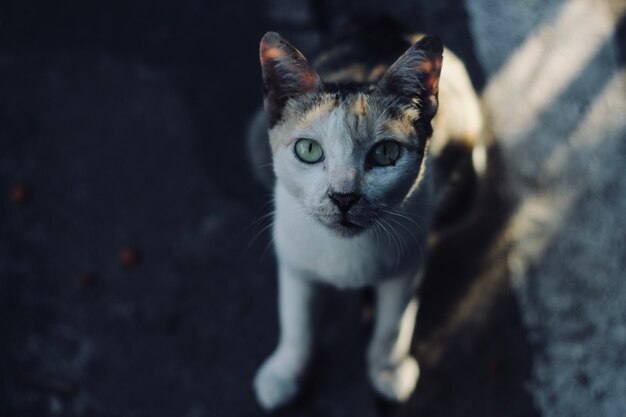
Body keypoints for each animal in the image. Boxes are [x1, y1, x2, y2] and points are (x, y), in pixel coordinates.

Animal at [247, 18, 482, 410]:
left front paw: (387, 369)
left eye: (386, 153)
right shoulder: (294, 261)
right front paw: (286, 371)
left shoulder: (409, 263)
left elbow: (393, 325)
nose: (344, 197)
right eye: (308, 150)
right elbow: (296, 320)